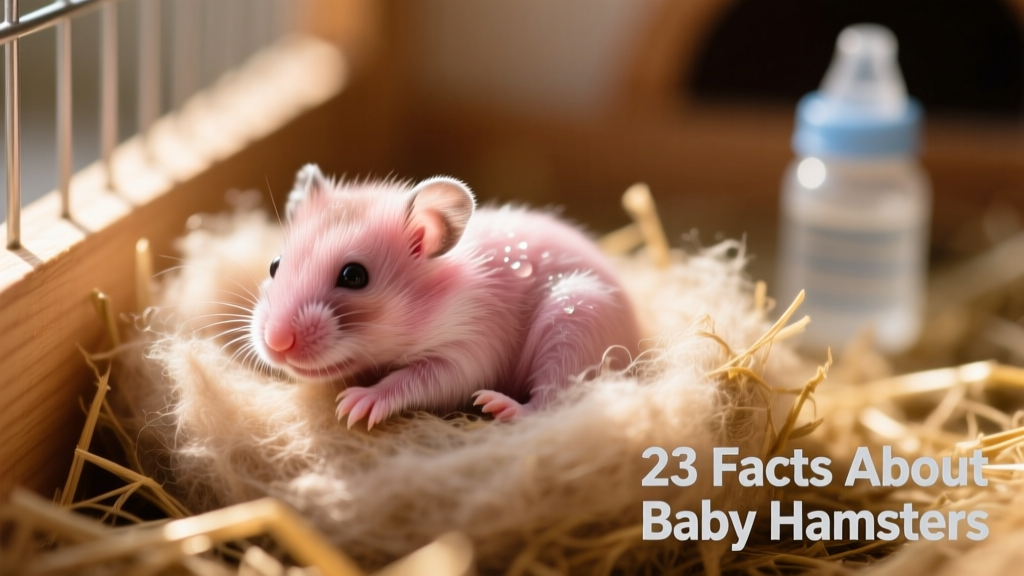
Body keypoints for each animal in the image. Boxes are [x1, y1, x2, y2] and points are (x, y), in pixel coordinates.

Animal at [250, 164, 641, 429]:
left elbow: (419, 378)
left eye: (354, 276)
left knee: (555, 399)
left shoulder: (468, 347)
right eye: (274, 265)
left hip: (576, 321)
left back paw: (500, 407)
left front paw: (357, 404)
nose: (276, 342)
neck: (433, 298)